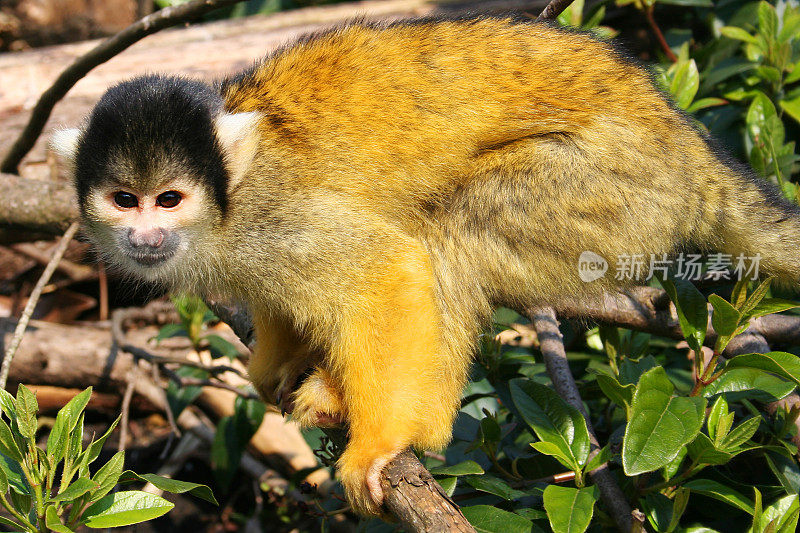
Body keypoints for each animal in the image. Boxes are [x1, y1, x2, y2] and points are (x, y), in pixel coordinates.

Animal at [53, 17, 800, 516]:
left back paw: (417, 423)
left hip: (611, 185)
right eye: (125, 200)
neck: (228, 206)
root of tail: (687, 145)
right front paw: (277, 361)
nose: (146, 233)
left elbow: (384, 267)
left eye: (168, 199)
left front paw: (383, 440)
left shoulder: (276, 213)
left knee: (450, 234)